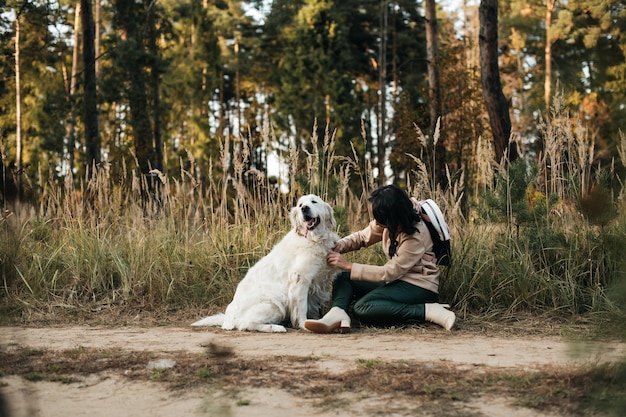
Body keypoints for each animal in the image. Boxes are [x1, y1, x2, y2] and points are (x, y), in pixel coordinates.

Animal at [190, 194, 338, 332]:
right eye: (300, 204)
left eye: (314, 201)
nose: (304, 208)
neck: (313, 239)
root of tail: (228, 319)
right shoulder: (300, 280)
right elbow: (301, 308)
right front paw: (304, 324)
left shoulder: (317, 283)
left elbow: (311, 307)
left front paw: (316, 321)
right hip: (275, 303)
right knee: (245, 324)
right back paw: (275, 327)